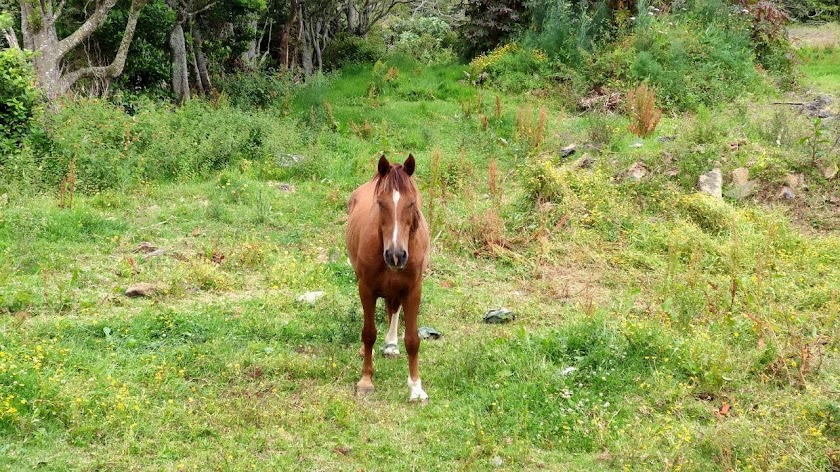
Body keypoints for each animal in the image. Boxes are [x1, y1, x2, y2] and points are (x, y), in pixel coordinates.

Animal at [344, 153, 430, 400]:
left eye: (412, 203)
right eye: (381, 203)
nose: (396, 255)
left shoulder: (413, 289)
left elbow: (412, 340)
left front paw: (416, 388)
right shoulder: (366, 288)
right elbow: (368, 333)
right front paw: (365, 380)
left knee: (393, 308)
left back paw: (391, 344)